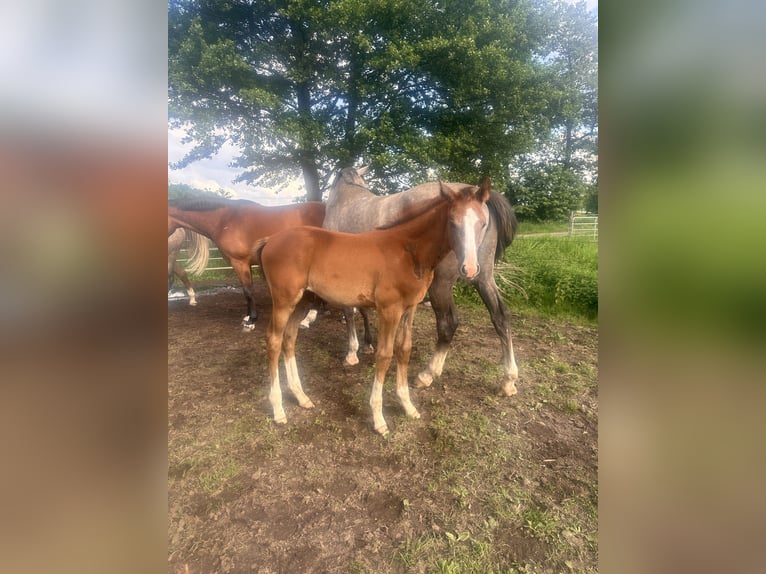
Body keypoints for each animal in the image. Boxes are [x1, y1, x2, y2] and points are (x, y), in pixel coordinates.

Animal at [166, 197, 326, 328]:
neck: (224, 220)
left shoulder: (239, 262)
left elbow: (247, 290)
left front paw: (251, 320)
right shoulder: (246, 264)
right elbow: (247, 290)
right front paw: (248, 316)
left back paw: (309, 318)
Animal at [252, 180, 492, 436]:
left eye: (483, 223)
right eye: (452, 221)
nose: (469, 269)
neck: (408, 251)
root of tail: (269, 241)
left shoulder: (410, 308)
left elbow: (404, 349)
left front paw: (408, 405)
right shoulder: (389, 309)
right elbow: (384, 354)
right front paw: (378, 417)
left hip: (303, 300)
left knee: (289, 338)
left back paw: (301, 397)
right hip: (284, 300)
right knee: (274, 340)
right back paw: (278, 409)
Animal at [324, 169, 520, 398]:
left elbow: (349, 311)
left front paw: (352, 352)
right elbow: (362, 310)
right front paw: (367, 345)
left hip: (441, 284)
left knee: (448, 323)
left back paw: (428, 374)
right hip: (483, 277)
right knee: (501, 317)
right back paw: (509, 379)